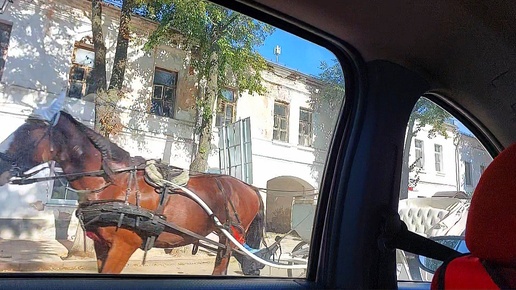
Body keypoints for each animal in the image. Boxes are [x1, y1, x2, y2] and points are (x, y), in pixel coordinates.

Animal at [0, 97, 266, 274]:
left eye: (28, 130)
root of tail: (249, 186)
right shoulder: (101, 246)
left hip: (230, 238)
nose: (1, 164)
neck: (112, 183)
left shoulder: (124, 246)